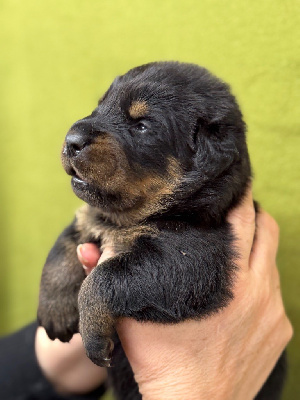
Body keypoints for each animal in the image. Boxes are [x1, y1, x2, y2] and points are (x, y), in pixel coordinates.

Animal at [37, 62, 286, 400]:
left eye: (142, 126)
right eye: (99, 106)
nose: (71, 139)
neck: (124, 219)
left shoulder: (192, 257)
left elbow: (104, 277)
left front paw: (91, 330)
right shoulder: (91, 219)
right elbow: (63, 246)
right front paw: (54, 310)